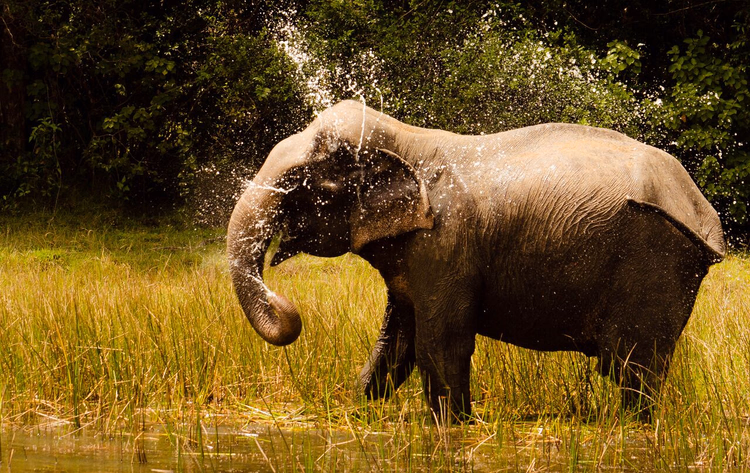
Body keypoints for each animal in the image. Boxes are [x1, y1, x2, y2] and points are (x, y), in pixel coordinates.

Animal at [227, 100, 725, 422]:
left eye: (311, 185)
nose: (287, 308)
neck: (407, 138)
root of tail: (703, 212)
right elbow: (397, 345)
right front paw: (354, 409)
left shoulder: (445, 244)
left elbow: (438, 345)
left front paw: (455, 428)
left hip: (655, 260)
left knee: (634, 368)